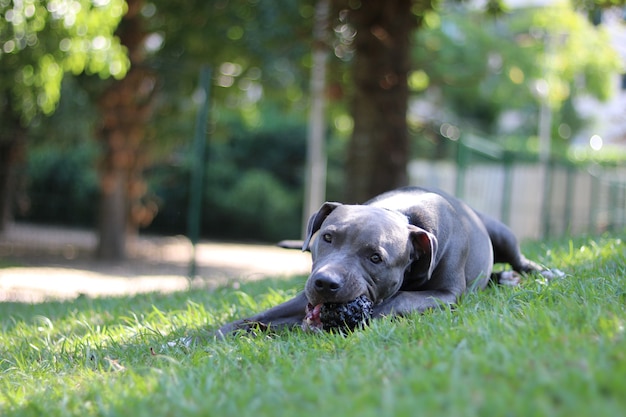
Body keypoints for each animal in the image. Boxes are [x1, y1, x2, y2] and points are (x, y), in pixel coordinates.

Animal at [216, 185, 556, 334]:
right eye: (328, 237)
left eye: (375, 258)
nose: (326, 283)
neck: (401, 214)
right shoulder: (304, 298)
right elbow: (260, 315)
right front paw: (214, 334)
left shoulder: (446, 294)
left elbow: (399, 299)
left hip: (501, 233)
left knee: (519, 259)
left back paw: (542, 273)